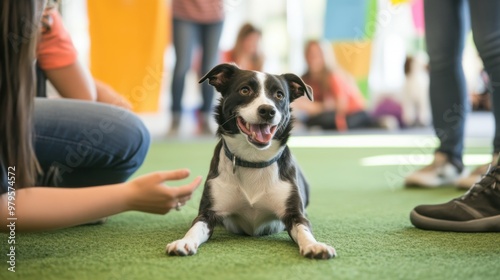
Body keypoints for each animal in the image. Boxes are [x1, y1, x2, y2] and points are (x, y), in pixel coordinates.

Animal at [167, 64, 336, 260]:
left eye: (279, 95)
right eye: (245, 90)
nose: (267, 111)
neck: (254, 160)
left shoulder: (295, 215)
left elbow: (304, 230)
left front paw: (315, 245)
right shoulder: (208, 213)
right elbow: (195, 228)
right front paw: (184, 241)